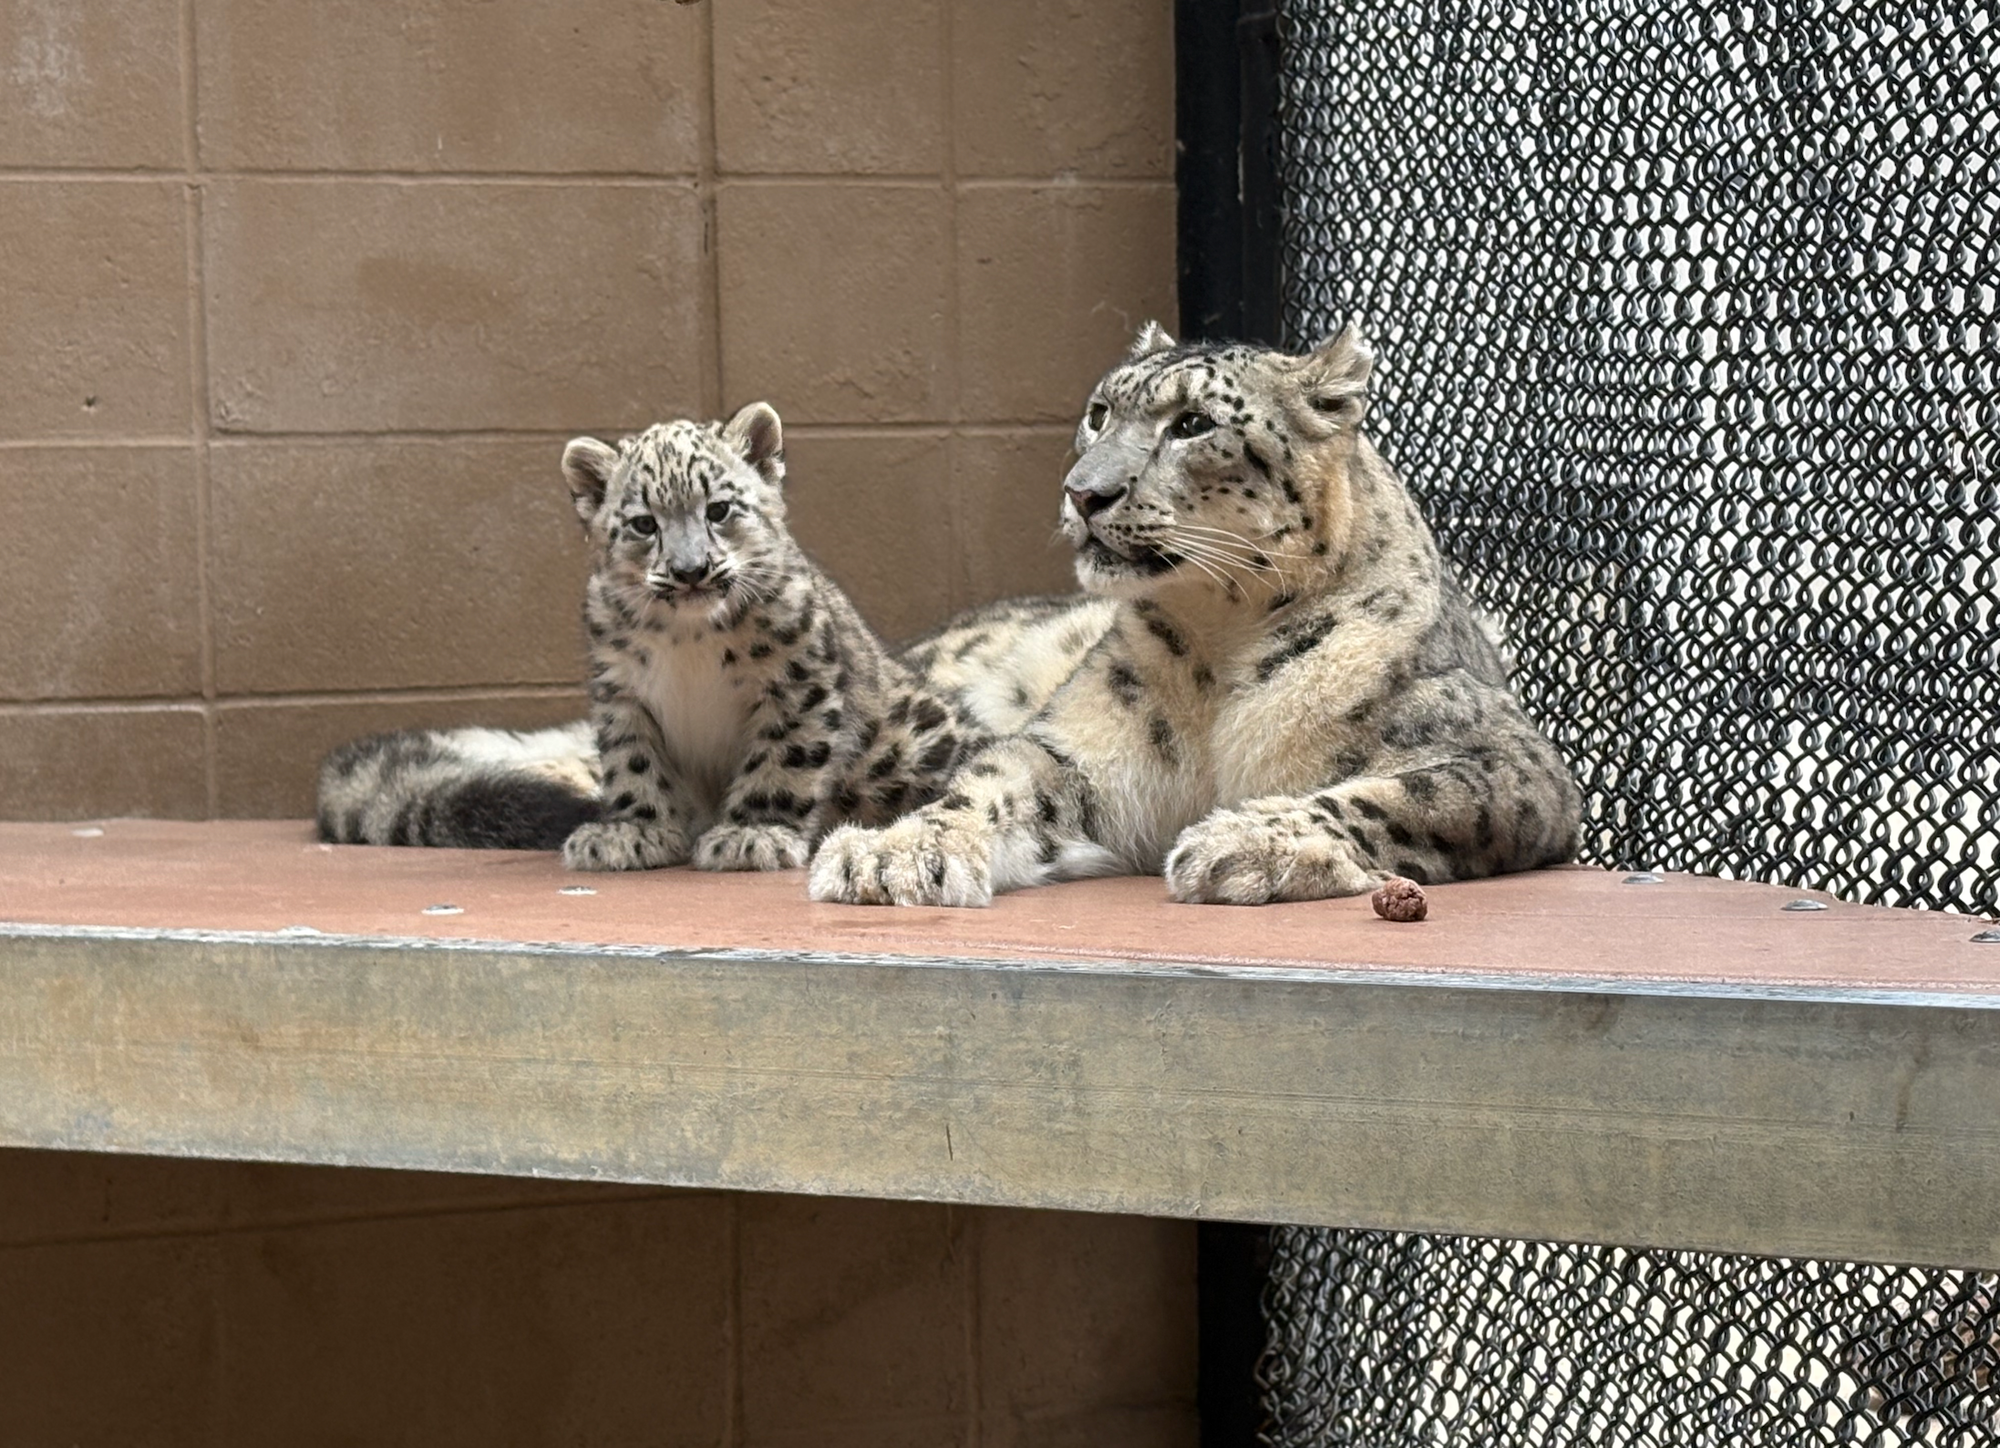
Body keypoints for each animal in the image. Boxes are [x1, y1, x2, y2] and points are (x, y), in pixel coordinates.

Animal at [315, 402, 1111, 869]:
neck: (687, 644)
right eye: (643, 522)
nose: (692, 568)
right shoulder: (622, 695)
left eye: (720, 508)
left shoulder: (797, 685)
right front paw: (633, 832)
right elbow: (634, 766)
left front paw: (749, 835)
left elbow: (781, 763)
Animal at [807, 322, 1584, 907]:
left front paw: (1248, 841)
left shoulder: (1500, 755)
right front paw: (894, 852)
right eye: (1100, 412)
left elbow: (1396, 794)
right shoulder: (1081, 751)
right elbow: (999, 781)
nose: (1084, 492)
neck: (1219, 643)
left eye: (1192, 424)